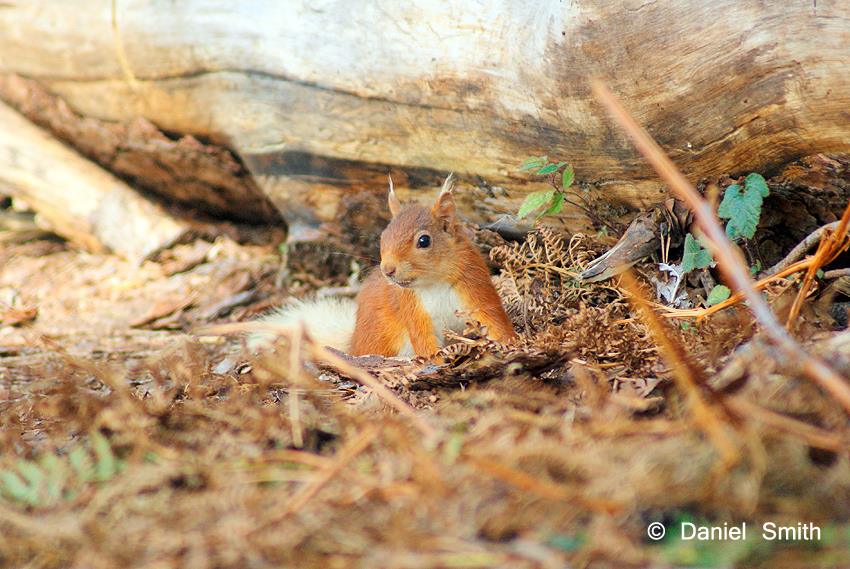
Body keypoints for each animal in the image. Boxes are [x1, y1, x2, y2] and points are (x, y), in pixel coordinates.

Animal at [253, 173, 517, 358]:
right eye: (383, 237)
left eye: (424, 241)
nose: (388, 270)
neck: (434, 283)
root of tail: (353, 341)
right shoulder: (414, 310)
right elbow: (425, 341)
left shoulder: (474, 287)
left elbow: (494, 320)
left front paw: (511, 344)